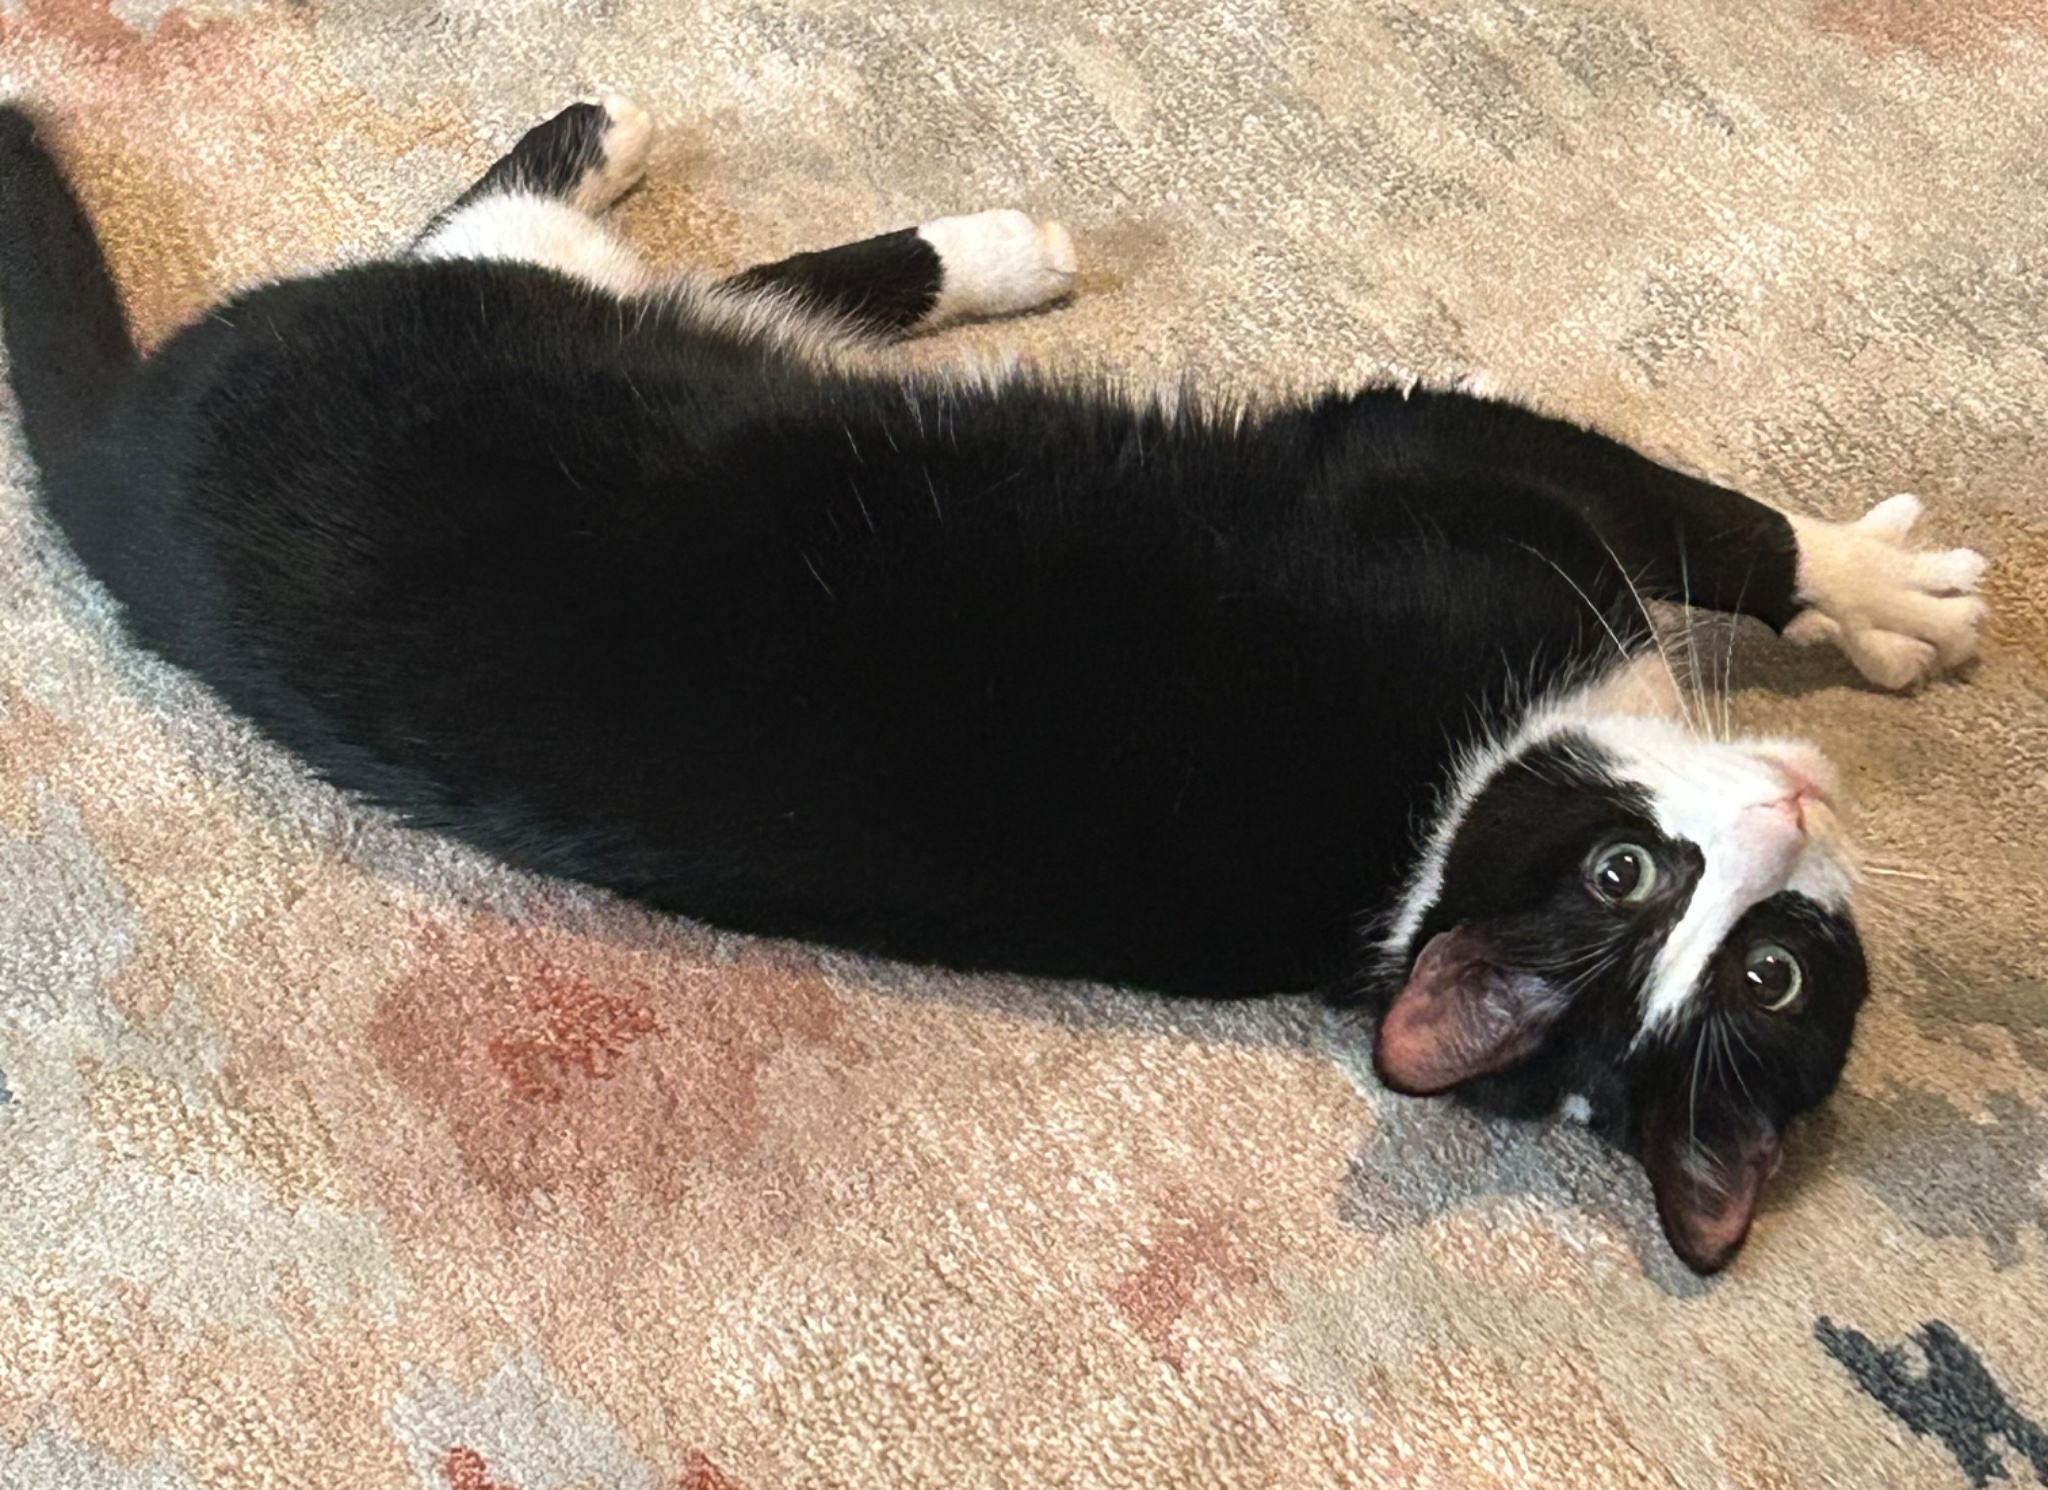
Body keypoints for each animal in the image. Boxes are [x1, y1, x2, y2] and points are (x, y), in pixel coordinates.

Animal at [0, 97, 1987, 1273]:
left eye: (1770, 975)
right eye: (1622, 879)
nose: (1792, 802)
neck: (1428, 835)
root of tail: (118, 465)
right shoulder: (1430, 467)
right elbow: (1712, 525)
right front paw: (1885, 591)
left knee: (726, 289)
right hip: (509, 322)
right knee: (507, 227)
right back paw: (837, 202)